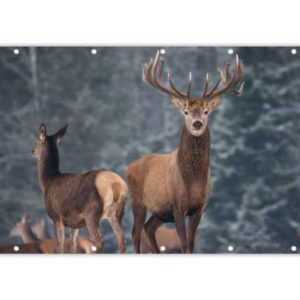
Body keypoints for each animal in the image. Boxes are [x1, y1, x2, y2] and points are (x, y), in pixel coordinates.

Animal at [126, 51, 244, 253]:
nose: (197, 124)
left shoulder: (199, 207)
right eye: (186, 111)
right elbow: (183, 244)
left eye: (206, 111)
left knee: (149, 228)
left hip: (161, 212)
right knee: (136, 232)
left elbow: (190, 244)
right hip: (138, 201)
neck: (192, 181)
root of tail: (127, 168)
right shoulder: (177, 205)